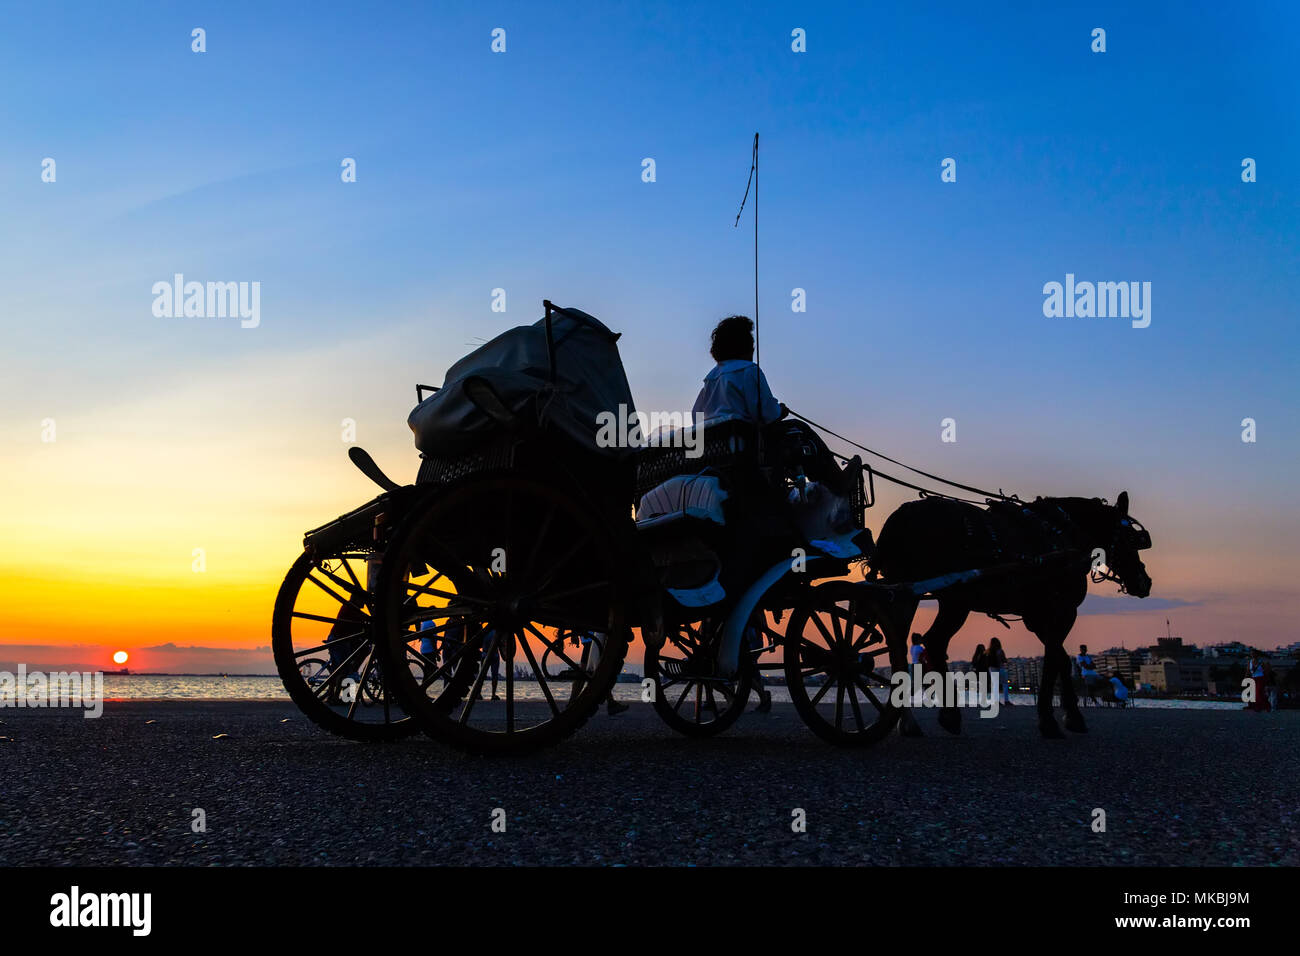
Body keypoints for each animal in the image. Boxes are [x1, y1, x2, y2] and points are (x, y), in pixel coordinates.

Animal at [868, 489, 1154, 738]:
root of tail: (902, 515)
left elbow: (1061, 658)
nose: (1144, 581)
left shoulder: (1036, 616)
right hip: (953, 598)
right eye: (1131, 538)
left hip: (912, 595)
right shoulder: (1062, 609)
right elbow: (1054, 658)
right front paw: (1051, 720)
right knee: (933, 641)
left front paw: (1070, 716)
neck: (1062, 532)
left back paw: (911, 721)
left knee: (902, 647)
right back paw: (948, 716)